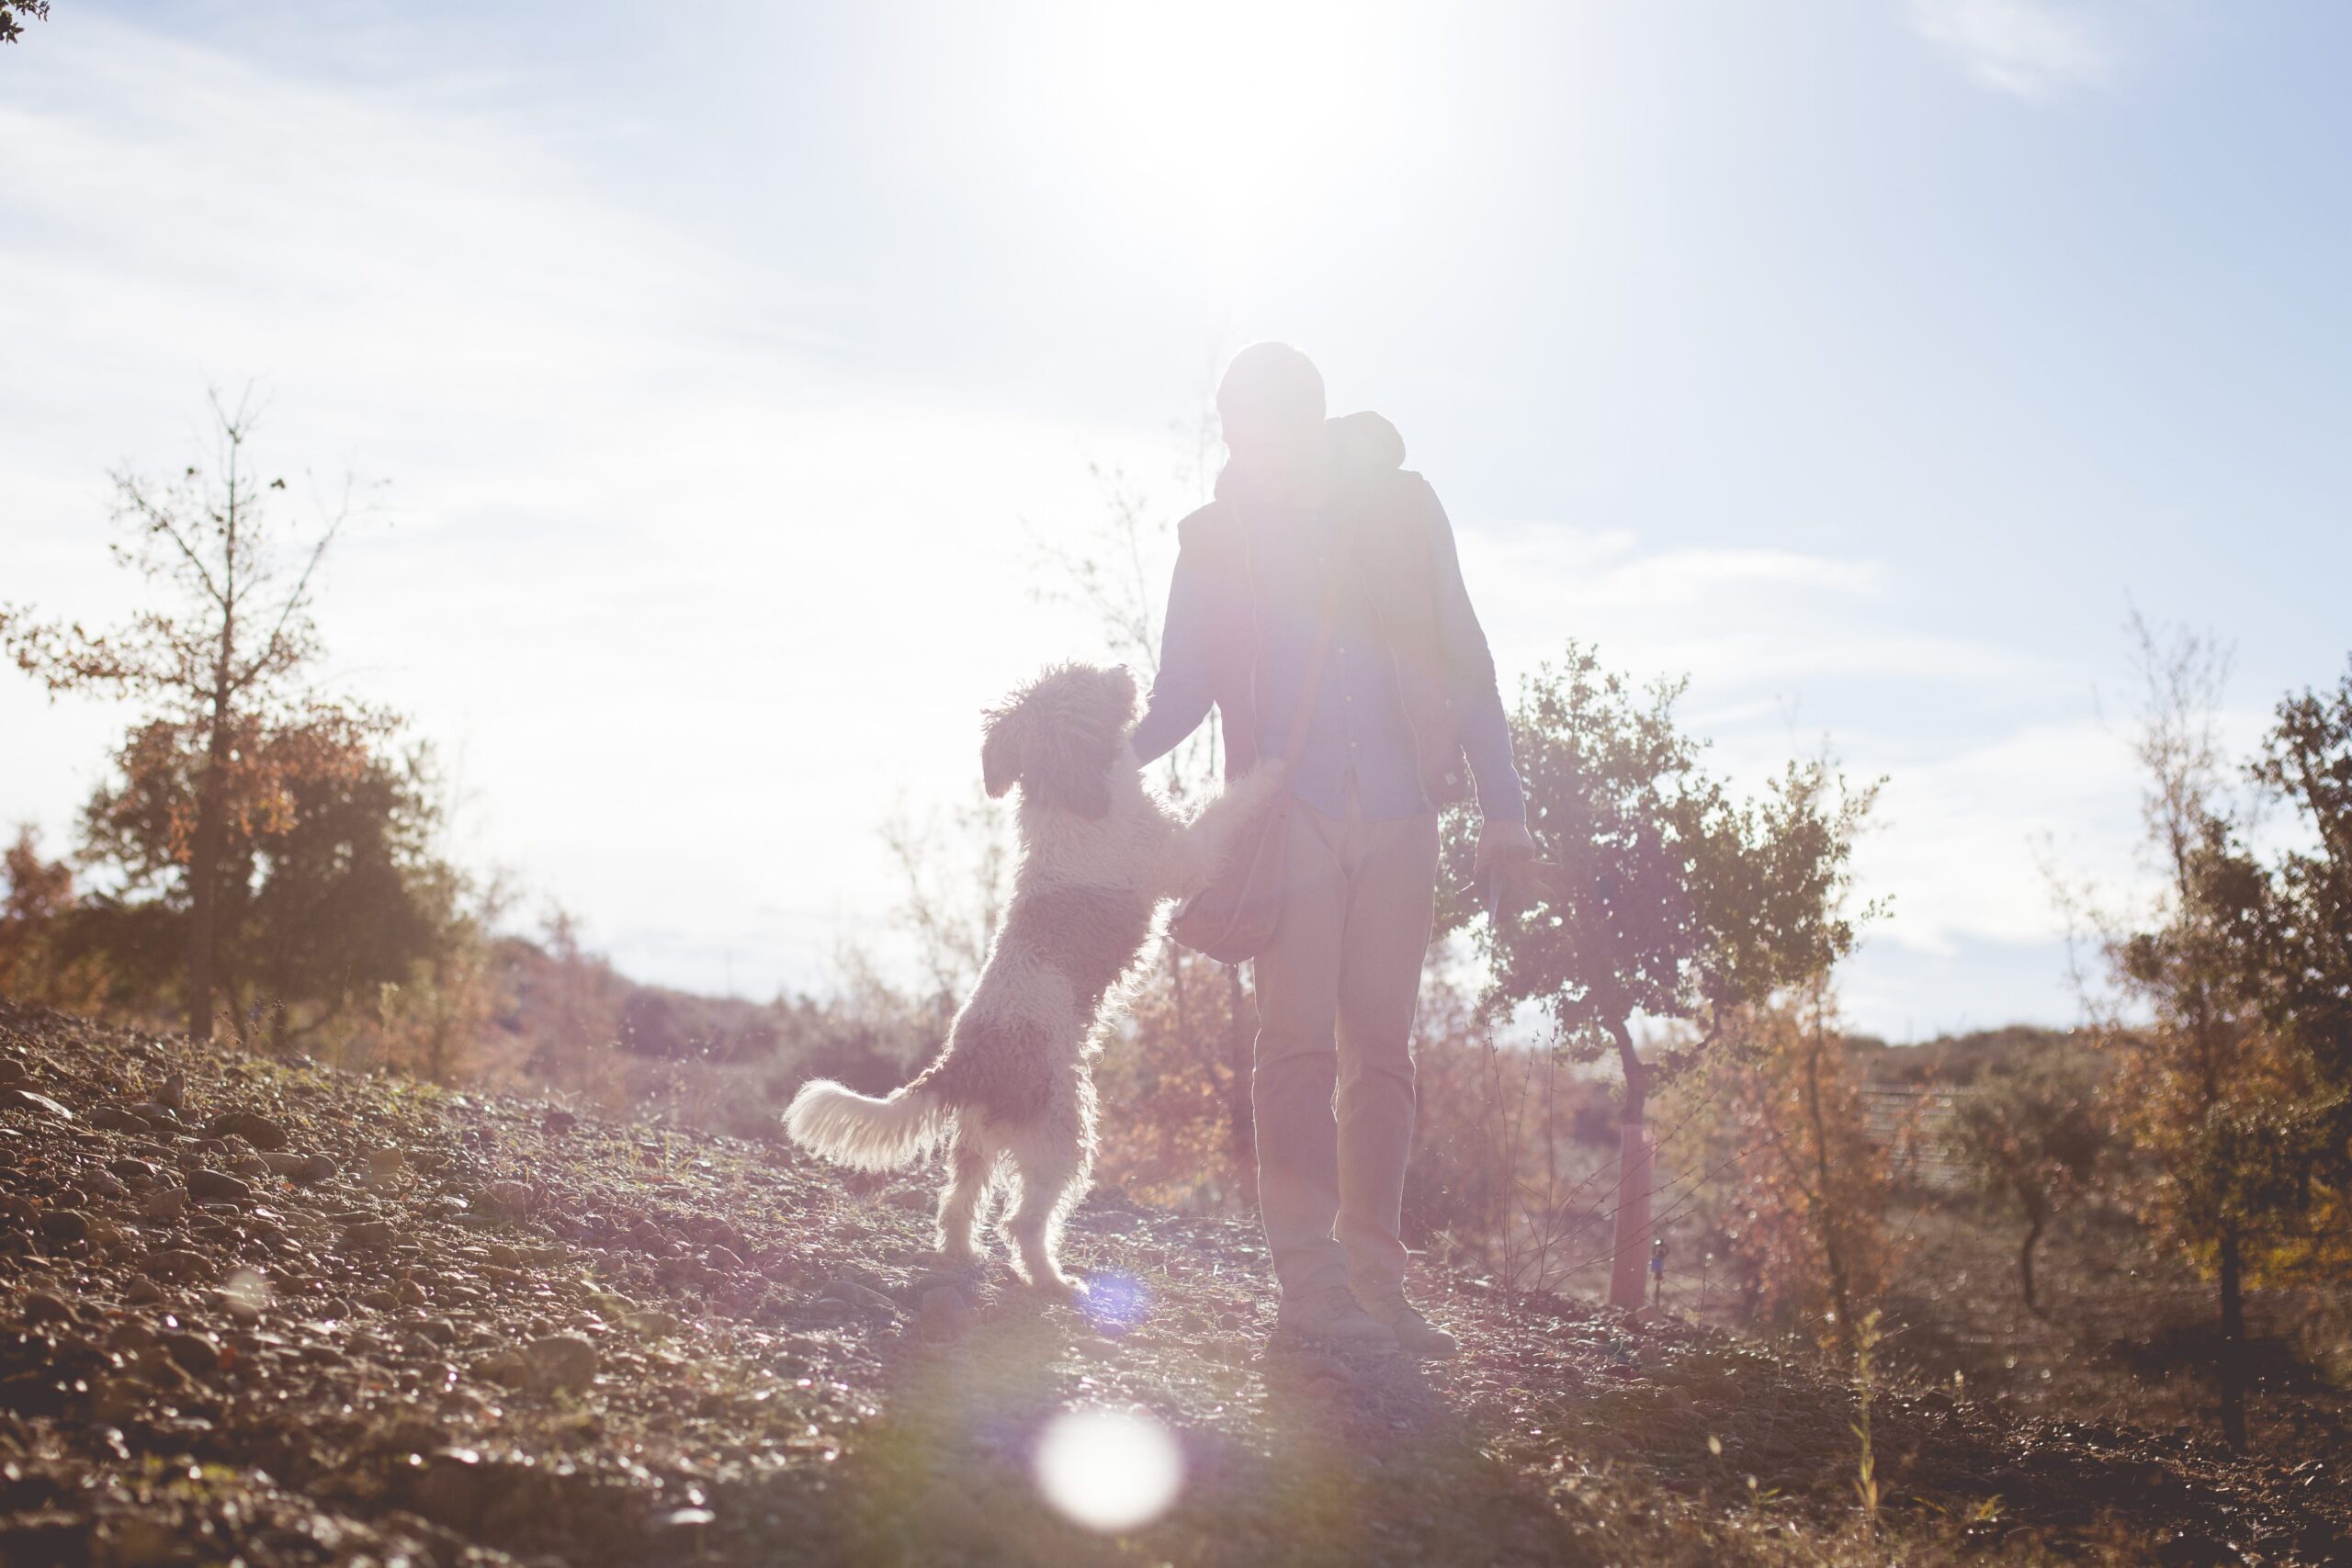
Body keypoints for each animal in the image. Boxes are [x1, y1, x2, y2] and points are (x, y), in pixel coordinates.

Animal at [780, 667, 1279, 1297]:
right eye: (1085, 681)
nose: (1125, 672)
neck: (1069, 791)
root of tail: (963, 1062)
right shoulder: (1178, 856)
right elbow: (1225, 808)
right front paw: (1273, 769)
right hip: (1063, 1130)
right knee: (1023, 1221)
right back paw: (1054, 1282)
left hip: (977, 1141)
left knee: (957, 1203)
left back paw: (964, 1255)